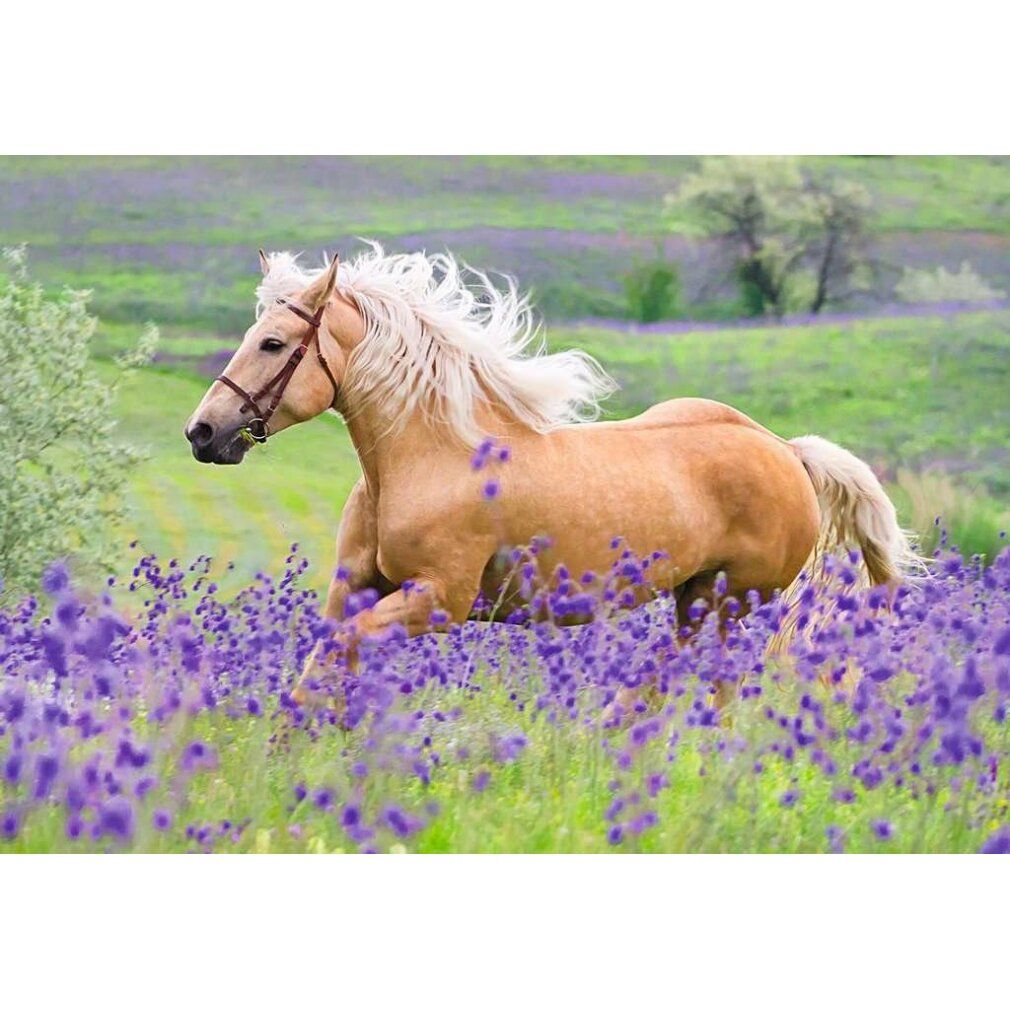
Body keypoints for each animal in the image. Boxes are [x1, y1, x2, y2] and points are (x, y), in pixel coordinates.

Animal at [185, 244, 921, 706]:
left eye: (273, 343)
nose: (203, 432)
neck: (430, 457)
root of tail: (784, 449)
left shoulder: (438, 601)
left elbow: (342, 657)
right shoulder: (358, 589)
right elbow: (321, 667)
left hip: (729, 602)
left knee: (705, 681)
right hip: (695, 598)